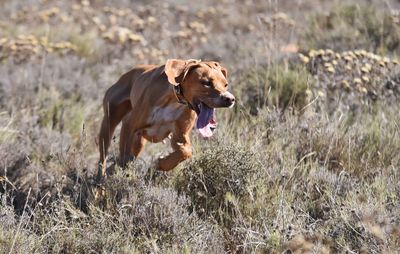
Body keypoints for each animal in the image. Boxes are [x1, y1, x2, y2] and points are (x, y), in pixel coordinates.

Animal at [97, 58, 234, 180]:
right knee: (103, 159)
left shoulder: (179, 135)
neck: (174, 99)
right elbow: (124, 158)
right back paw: (100, 181)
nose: (230, 99)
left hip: (138, 143)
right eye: (206, 82)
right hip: (109, 124)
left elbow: (185, 151)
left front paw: (160, 163)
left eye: (225, 84)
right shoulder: (129, 126)